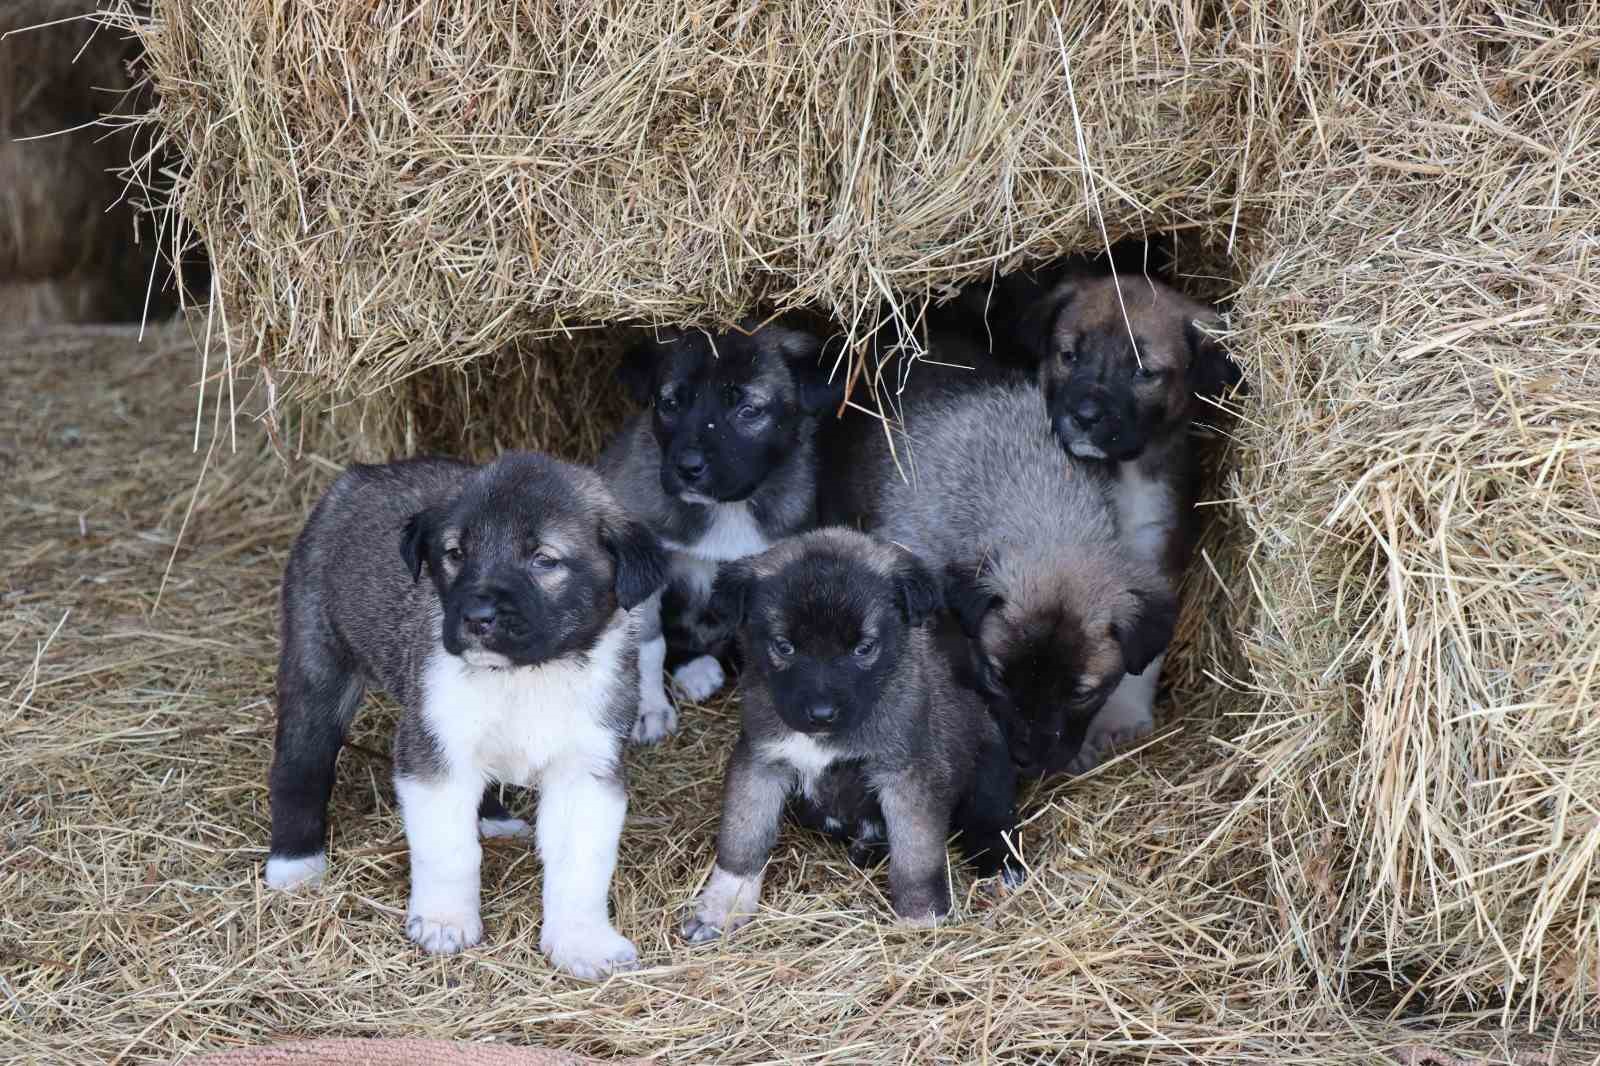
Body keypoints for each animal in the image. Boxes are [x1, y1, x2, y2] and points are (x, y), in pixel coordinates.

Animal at [265, 448, 665, 973]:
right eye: (456, 554)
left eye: (544, 559)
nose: (476, 618)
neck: (526, 676)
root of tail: (360, 476)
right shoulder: (434, 752)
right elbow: (449, 850)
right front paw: (444, 921)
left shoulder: (588, 768)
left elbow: (581, 864)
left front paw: (582, 941)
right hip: (318, 663)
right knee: (300, 764)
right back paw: (294, 862)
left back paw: (493, 818)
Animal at [598, 320, 844, 742]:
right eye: (670, 404)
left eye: (748, 410)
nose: (687, 467)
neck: (727, 509)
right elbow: (648, 645)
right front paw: (650, 710)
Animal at [681, 524, 1017, 941]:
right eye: (784, 646)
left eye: (864, 648)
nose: (822, 714)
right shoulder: (760, 761)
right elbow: (742, 837)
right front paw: (723, 906)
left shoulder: (908, 774)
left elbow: (916, 854)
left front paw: (921, 917)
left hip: (989, 758)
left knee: (992, 819)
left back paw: (1003, 867)